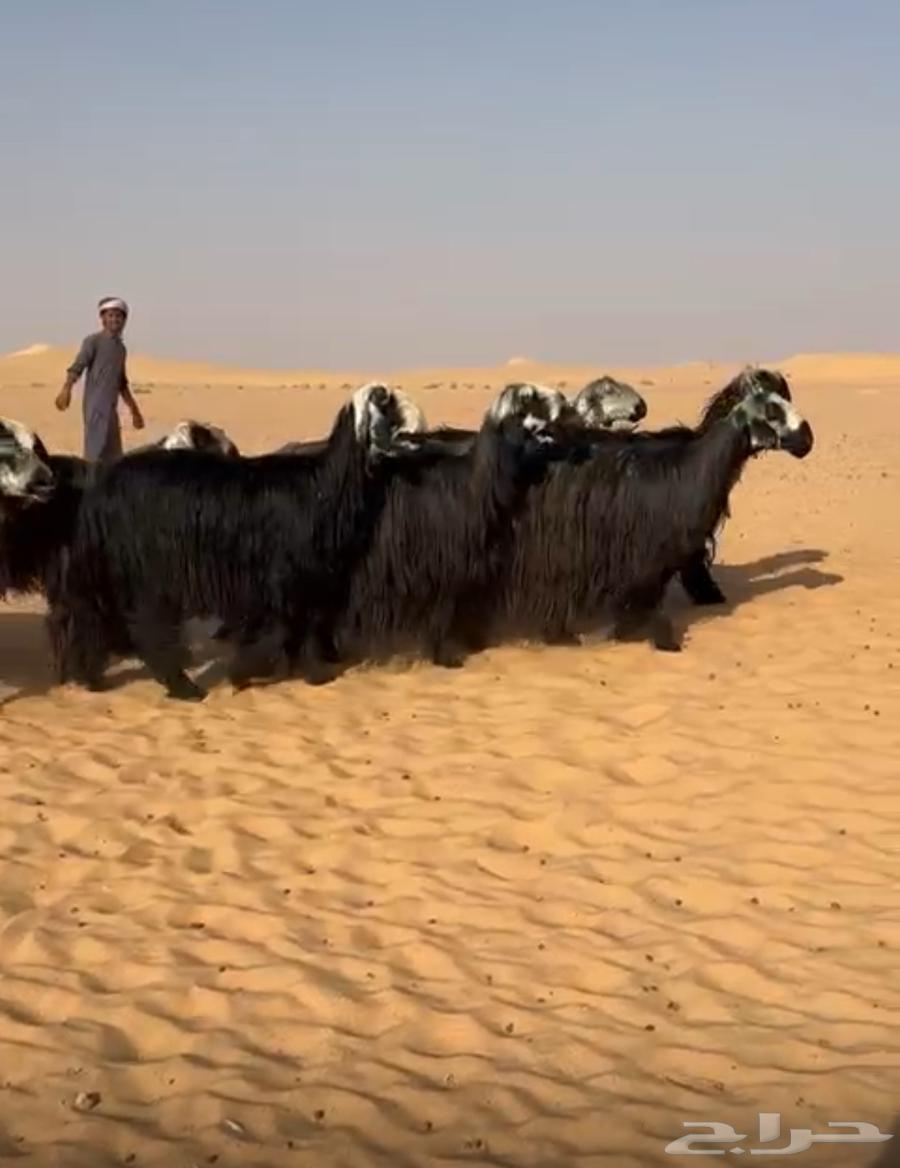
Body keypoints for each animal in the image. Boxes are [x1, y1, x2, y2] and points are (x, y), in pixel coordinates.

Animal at [52, 383, 426, 701]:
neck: (324, 484)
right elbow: (290, 626)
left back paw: (93, 678)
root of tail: (102, 487)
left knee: (94, 619)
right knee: (146, 629)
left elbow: (297, 626)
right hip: (147, 573)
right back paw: (184, 689)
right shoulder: (287, 577)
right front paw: (263, 673)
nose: (422, 437)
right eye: (393, 409)